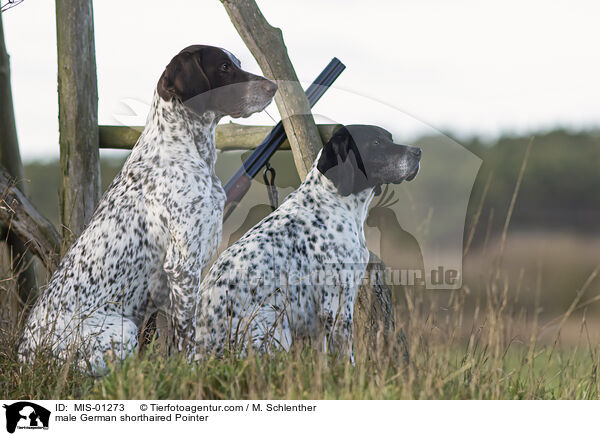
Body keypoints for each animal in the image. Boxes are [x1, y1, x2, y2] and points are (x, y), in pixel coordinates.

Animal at [18, 44, 276, 372]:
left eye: (237, 63)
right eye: (224, 67)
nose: (274, 87)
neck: (183, 149)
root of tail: (26, 356)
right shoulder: (182, 267)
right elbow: (187, 336)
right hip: (121, 328)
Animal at [192, 124, 422, 360]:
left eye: (390, 138)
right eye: (376, 142)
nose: (418, 152)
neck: (333, 202)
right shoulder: (335, 301)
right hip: (273, 318)